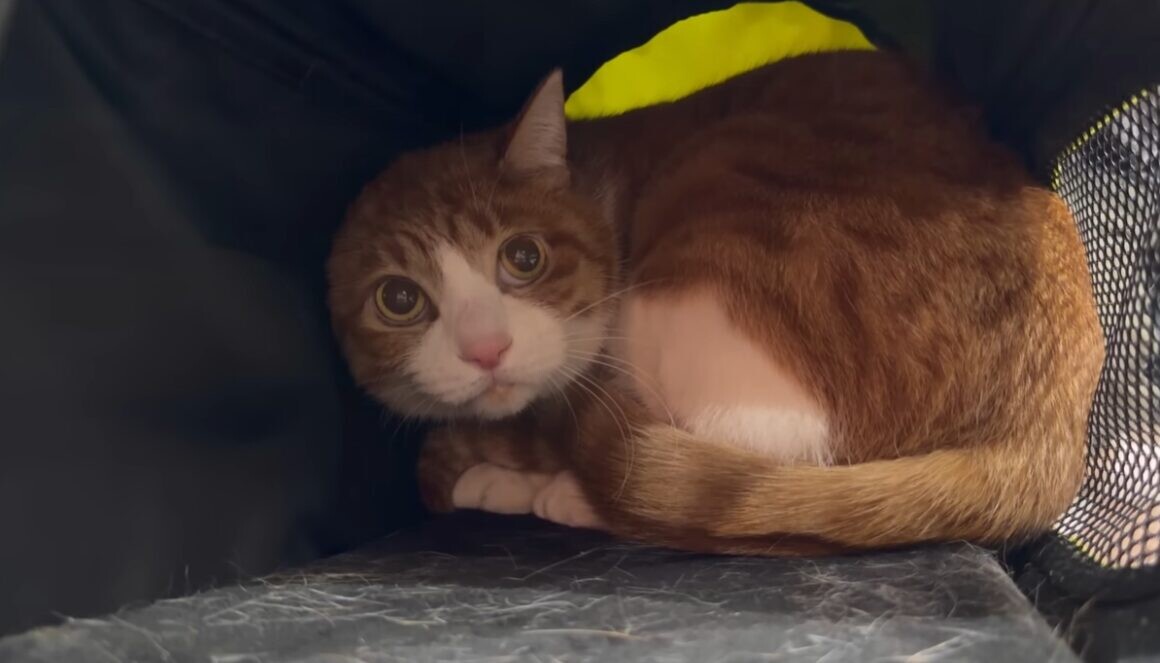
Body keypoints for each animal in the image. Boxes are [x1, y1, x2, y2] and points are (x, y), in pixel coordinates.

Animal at [327, 51, 1104, 555]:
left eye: (523, 257)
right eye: (400, 299)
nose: (486, 349)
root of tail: (1045, 422)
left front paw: (509, 477)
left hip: (706, 267)